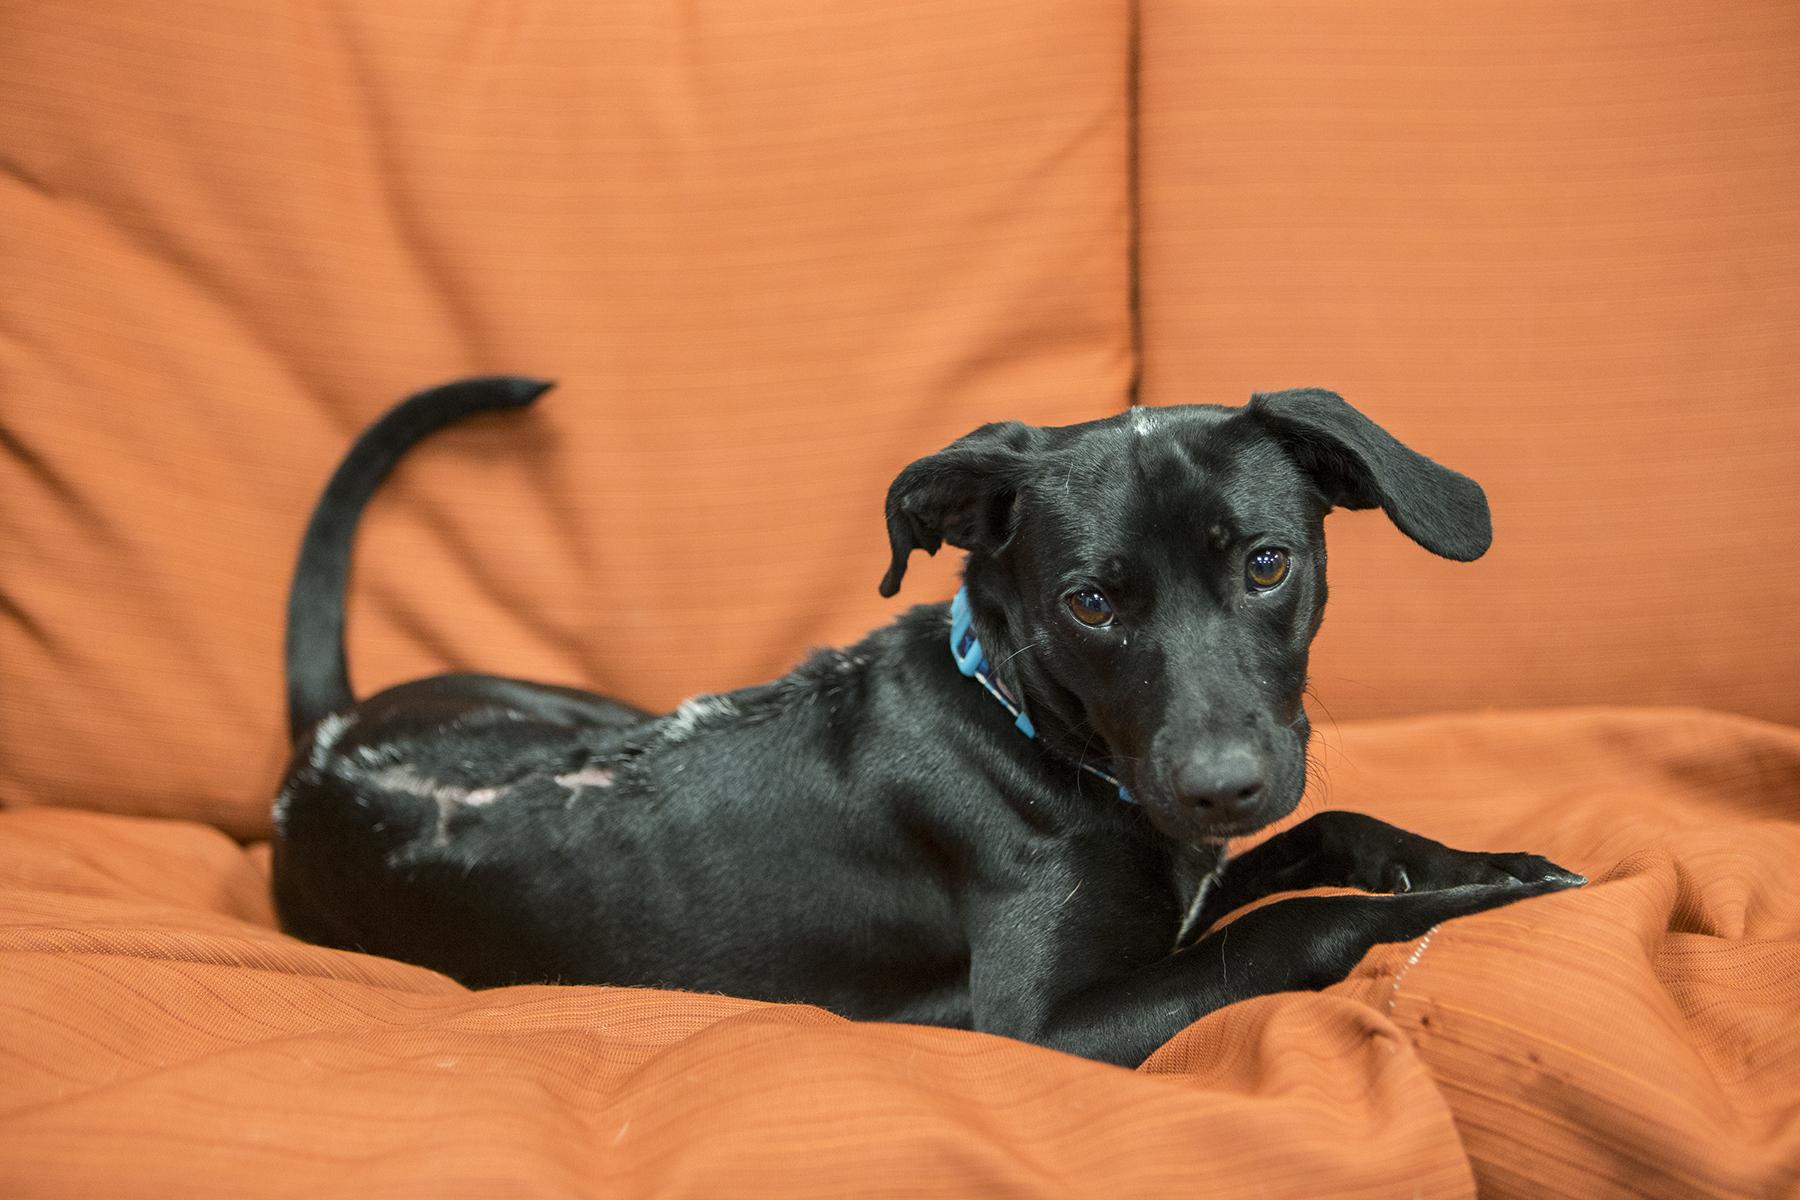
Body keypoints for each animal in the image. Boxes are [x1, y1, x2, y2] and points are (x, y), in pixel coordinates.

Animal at [273, 379, 1584, 1065]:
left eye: (1267, 564)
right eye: (1091, 603)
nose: (1224, 788)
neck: (1024, 727)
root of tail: (324, 745)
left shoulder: (1208, 856)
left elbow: (1332, 834)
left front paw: (1478, 861)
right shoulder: (1047, 1026)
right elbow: (1289, 925)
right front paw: (1460, 906)